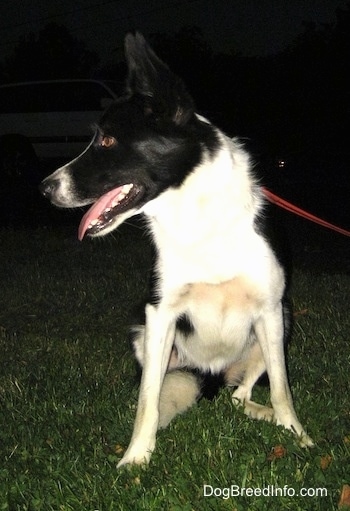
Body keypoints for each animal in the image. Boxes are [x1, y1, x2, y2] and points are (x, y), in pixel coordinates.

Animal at [39, 32, 314, 468]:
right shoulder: (159, 313)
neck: (199, 219)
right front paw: (137, 457)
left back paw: (267, 416)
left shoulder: (271, 309)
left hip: (282, 321)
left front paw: (296, 433)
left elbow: (282, 388)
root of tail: (212, 375)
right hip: (141, 331)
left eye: (108, 139)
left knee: (242, 394)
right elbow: (147, 401)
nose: (45, 189)